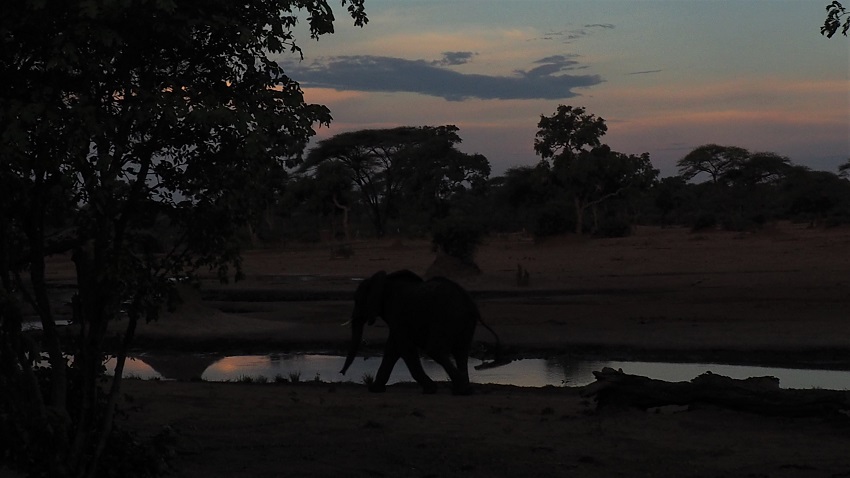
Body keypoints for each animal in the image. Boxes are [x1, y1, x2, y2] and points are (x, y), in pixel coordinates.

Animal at [340, 270, 500, 395]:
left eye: (357, 300)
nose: (341, 373)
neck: (384, 281)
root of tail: (469, 303)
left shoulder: (397, 313)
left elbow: (404, 347)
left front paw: (430, 389)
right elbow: (392, 349)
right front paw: (375, 389)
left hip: (445, 318)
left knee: (435, 350)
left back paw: (461, 389)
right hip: (464, 322)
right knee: (461, 352)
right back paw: (462, 390)